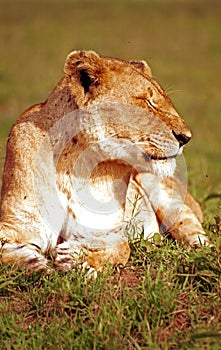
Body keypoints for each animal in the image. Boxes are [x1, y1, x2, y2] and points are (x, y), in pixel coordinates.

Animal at [0, 50, 208, 272]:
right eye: (148, 101)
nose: (186, 137)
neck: (74, 163)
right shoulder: (18, 224)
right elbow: (6, 252)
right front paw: (35, 265)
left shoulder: (106, 232)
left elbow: (117, 251)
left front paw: (78, 260)